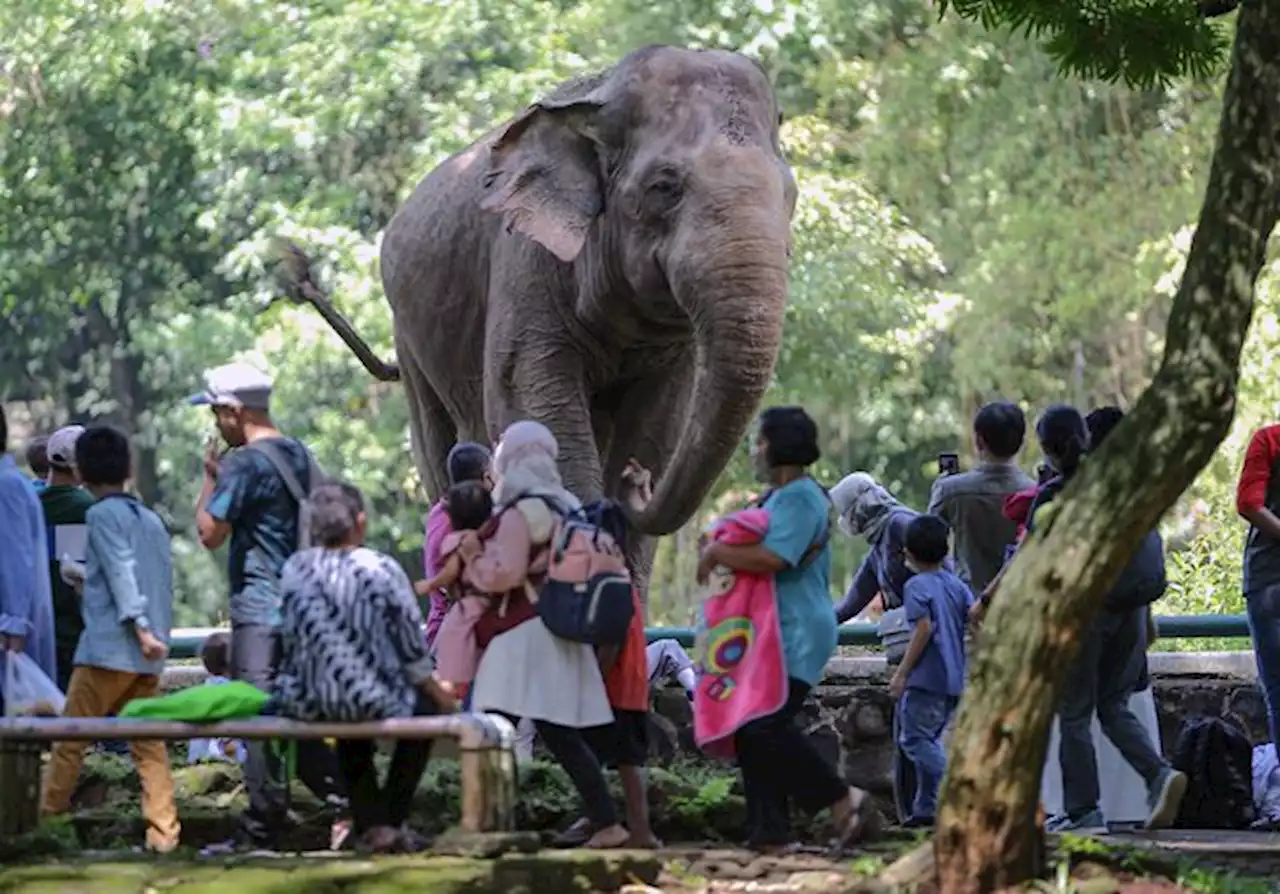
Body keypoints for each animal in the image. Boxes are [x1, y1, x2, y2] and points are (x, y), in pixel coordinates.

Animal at [285, 41, 793, 589]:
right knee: (439, 448)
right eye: (665, 186)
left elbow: (659, 427)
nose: (637, 482)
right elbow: (532, 406)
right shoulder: (525, 264)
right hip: (411, 339)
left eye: (789, 194)